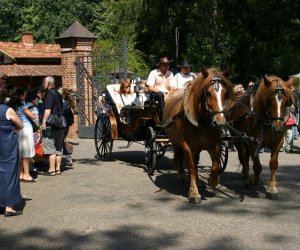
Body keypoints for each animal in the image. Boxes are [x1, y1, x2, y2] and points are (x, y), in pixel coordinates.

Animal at [163, 68, 233, 203]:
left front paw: (212, 181)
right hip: (175, 141)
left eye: (226, 93)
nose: (220, 122)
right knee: (179, 157)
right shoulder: (188, 146)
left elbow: (216, 166)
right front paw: (194, 193)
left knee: (195, 161)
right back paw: (181, 174)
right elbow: (191, 168)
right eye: (208, 93)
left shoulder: (215, 144)